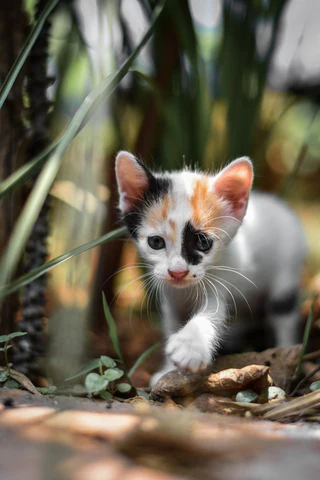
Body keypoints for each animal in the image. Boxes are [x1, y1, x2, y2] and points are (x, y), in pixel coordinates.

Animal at [114, 152, 304, 384]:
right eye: (156, 242)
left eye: (203, 243)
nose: (178, 272)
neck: (185, 291)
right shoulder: (170, 300)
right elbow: (172, 324)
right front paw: (167, 370)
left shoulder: (218, 282)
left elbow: (212, 312)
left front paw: (190, 345)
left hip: (287, 271)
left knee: (284, 313)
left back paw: (285, 350)